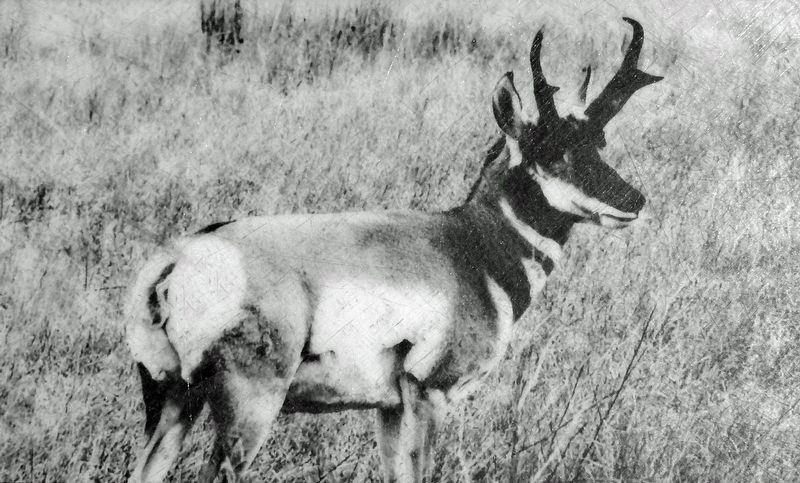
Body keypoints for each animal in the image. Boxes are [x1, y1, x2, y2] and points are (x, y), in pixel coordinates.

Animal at [126, 18, 662, 483]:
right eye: (549, 150)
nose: (634, 200)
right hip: (248, 407)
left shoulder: (388, 408)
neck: (472, 248)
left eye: (599, 142)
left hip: (172, 403)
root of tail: (181, 256)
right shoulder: (429, 395)